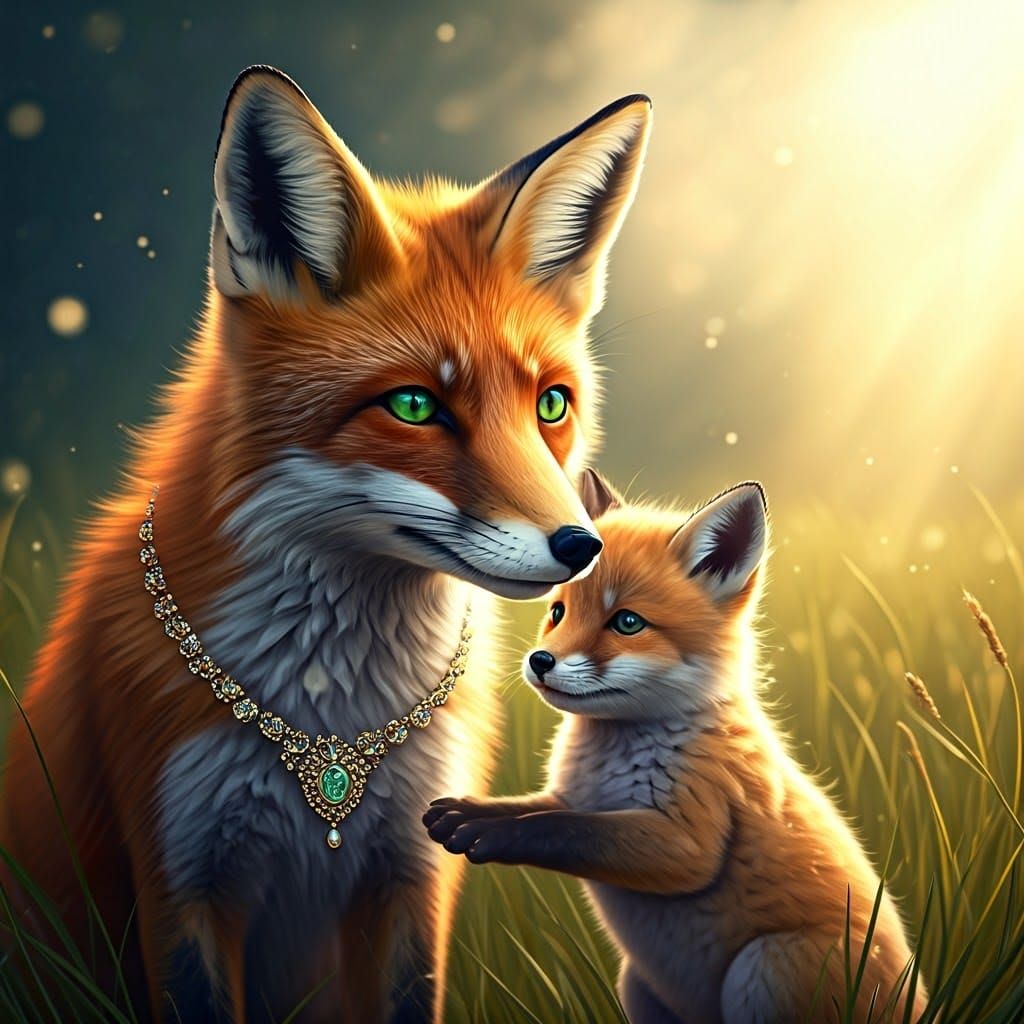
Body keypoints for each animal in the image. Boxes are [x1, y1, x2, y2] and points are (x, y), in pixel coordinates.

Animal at [0, 68, 652, 1022]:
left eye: (551, 405)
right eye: (415, 406)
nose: (582, 547)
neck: (333, 718)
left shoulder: (412, 872)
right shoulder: (183, 882)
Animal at [426, 471, 927, 1024]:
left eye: (627, 623)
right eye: (558, 611)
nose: (540, 661)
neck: (611, 757)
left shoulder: (690, 839)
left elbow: (565, 830)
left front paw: (490, 835)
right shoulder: (572, 796)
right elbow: (531, 810)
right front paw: (468, 811)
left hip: (763, 970)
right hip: (639, 987)